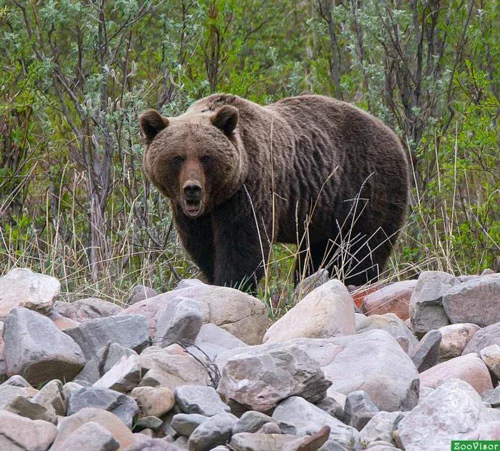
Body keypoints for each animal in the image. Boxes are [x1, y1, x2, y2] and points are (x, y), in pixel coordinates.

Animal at [141, 95, 410, 294]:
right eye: (177, 158)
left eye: (206, 157)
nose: (192, 188)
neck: (219, 198)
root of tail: (393, 134)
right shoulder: (193, 214)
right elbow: (203, 246)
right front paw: (213, 276)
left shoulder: (250, 191)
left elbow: (243, 245)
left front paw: (234, 283)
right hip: (324, 211)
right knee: (319, 253)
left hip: (366, 190)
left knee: (363, 247)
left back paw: (354, 281)